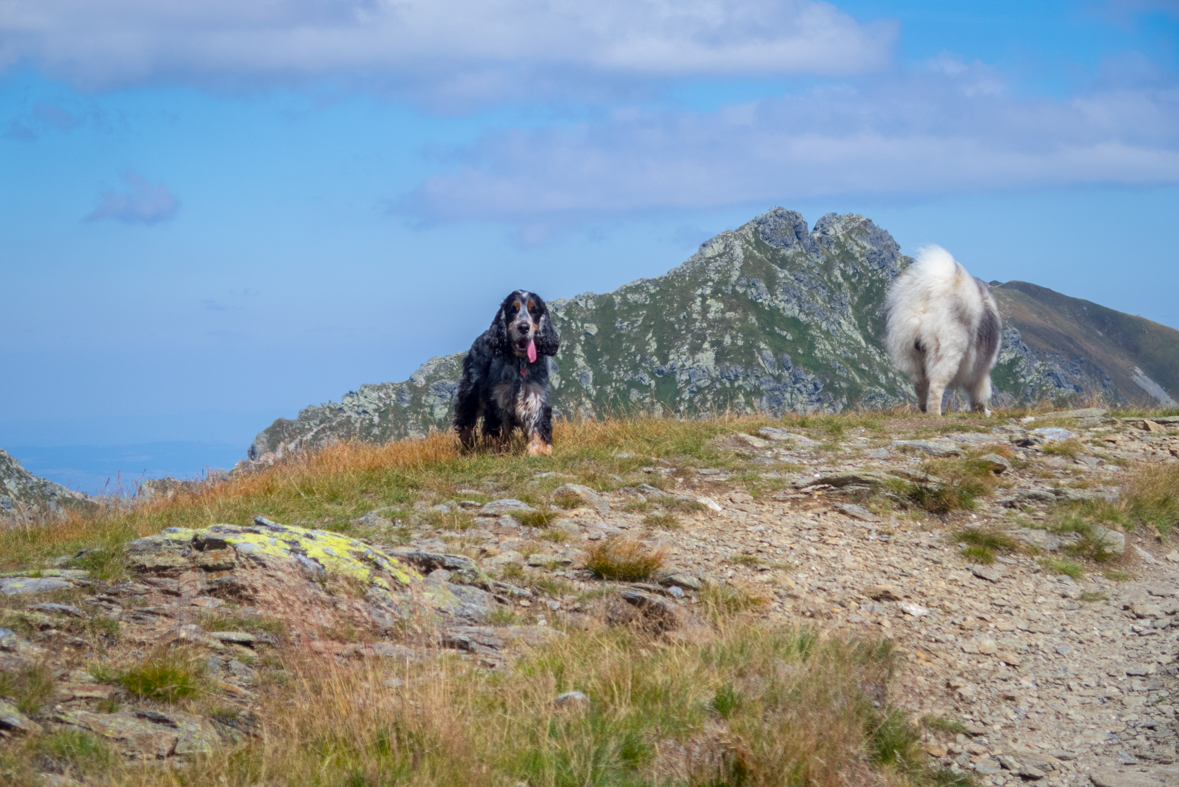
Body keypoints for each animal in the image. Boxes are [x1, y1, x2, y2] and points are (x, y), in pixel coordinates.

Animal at [886, 246, 1004, 417]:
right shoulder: (980, 370)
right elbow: (980, 391)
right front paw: (982, 410)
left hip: (912, 355)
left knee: (920, 386)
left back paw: (924, 409)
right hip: (946, 352)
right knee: (936, 386)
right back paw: (935, 413)